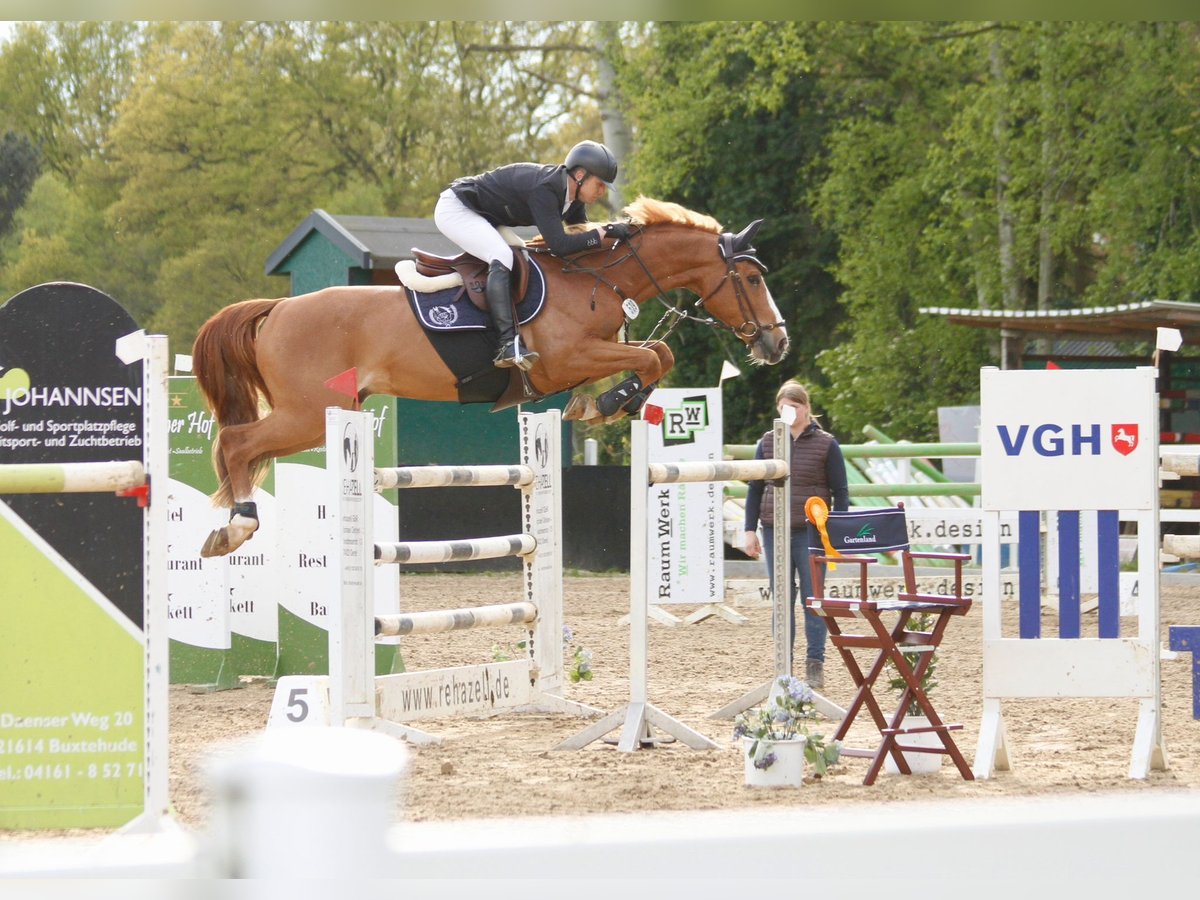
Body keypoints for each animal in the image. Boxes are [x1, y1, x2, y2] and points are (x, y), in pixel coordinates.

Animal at [193, 196, 792, 556]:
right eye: (752, 278)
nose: (777, 342)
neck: (596, 277)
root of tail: (277, 308)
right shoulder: (566, 360)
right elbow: (650, 359)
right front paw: (606, 404)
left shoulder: (594, 353)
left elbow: (658, 354)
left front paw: (604, 404)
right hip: (309, 413)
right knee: (236, 442)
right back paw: (237, 525)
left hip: (317, 415)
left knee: (239, 445)